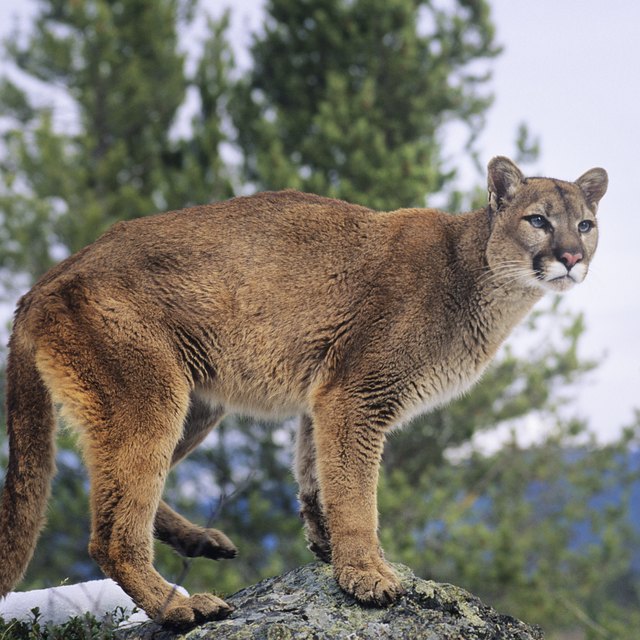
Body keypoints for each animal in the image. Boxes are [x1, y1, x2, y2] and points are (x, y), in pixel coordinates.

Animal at [0, 158, 604, 628]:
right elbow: (356, 492)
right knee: (108, 533)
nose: (572, 257)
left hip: (194, 403)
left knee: (111, 493)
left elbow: (317, 474)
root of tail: (44, 280)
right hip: (149, 396)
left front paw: (328, 547)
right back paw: (178, 607)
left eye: (586, 224)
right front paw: (367, 575)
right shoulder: (358, 393)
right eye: (538, 220)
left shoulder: (326, 394)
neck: (482, 279)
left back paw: (201, 542)